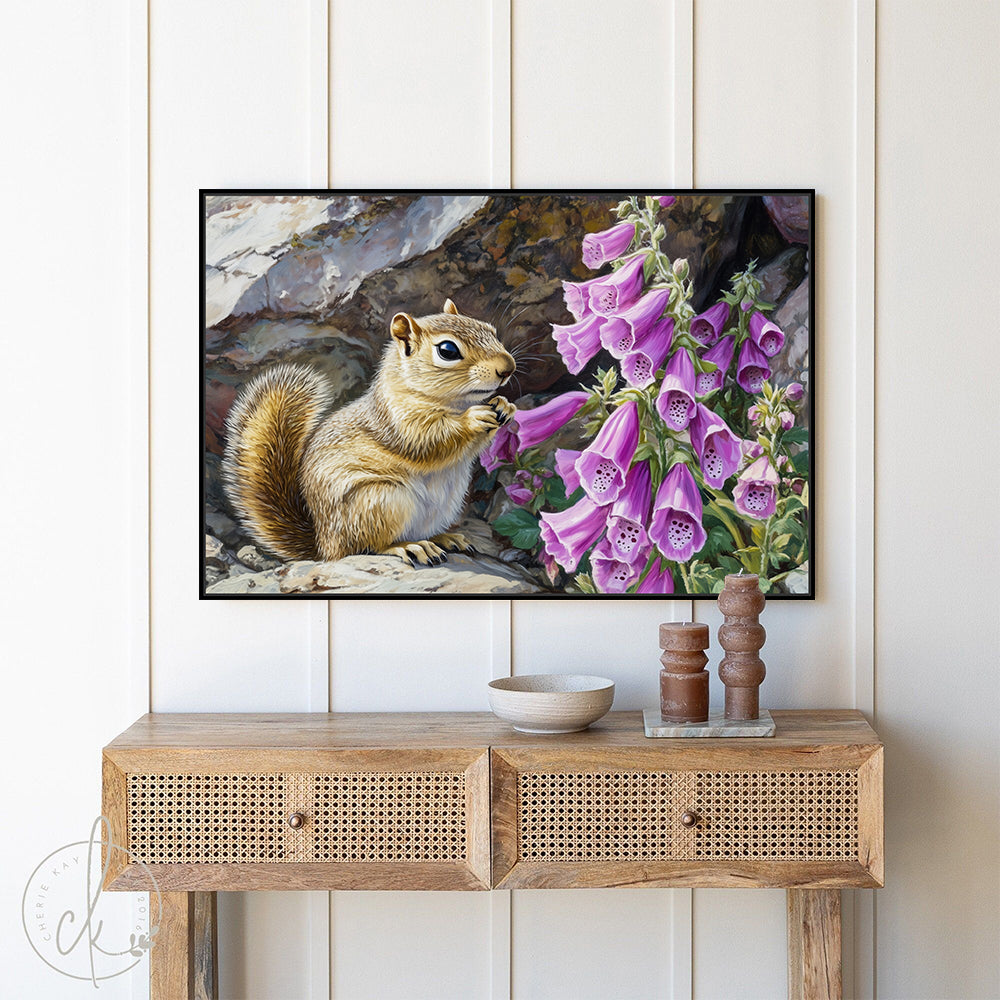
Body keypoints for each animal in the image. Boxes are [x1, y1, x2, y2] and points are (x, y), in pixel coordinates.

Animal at [222, 299, 517, 567]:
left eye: (490, 330)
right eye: (447, 350)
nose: (508, 368)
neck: (455, 403)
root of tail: (324, 544)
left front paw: (504, 405)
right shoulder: (396, 423)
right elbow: (428, 441)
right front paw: (473, 418)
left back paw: (444, 538)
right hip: (379, 503)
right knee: (367, 546)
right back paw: (409, 547)